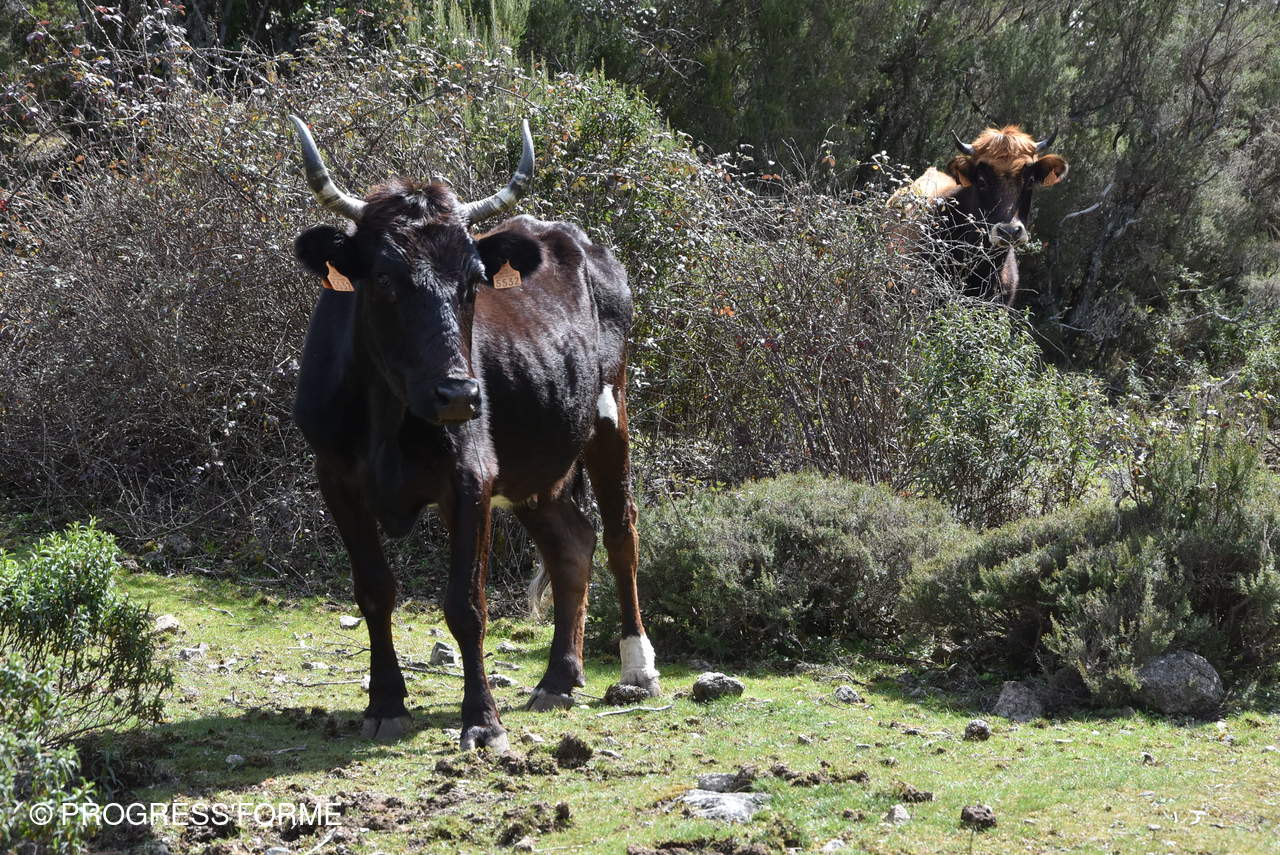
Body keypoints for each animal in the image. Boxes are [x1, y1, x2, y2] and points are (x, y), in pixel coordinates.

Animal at [285, 115, 660, 751]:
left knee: (620, 533)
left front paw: (482, 720)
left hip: (611, 415)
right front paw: (386, 702)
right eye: (383, 278)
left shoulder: (470, 478)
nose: (459, 394)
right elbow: (374, 589)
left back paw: (638, 667)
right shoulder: (335, 478)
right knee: (572, 544)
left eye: (474, 282)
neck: (387, 417)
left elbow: (467, 605)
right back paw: (559, 678)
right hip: (537, 463)